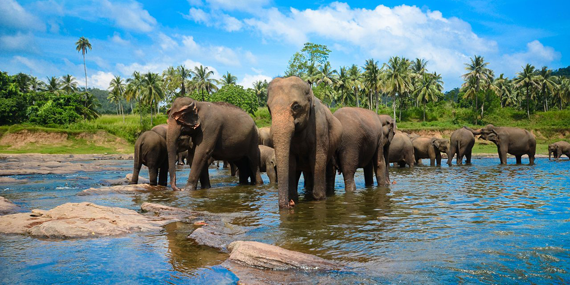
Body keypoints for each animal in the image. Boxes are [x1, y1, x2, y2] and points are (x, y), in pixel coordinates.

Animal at [268, 76, 342, 207]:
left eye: (296, 106)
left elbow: (318, 160)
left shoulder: (320, 129)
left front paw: (319, 198)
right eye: (268, 109)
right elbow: (291, 163)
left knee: (328, 168)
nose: (290, 204)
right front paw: (293, 198)